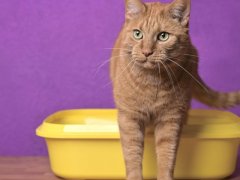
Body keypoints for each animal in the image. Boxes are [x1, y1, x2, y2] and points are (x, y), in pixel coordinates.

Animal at [109, 0, 239, 180]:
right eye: (137, 34)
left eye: (163, 36)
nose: (146, 52)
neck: (152, 81)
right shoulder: (129, 118)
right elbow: (132, 154)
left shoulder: (170, 120)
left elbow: (167, 155)